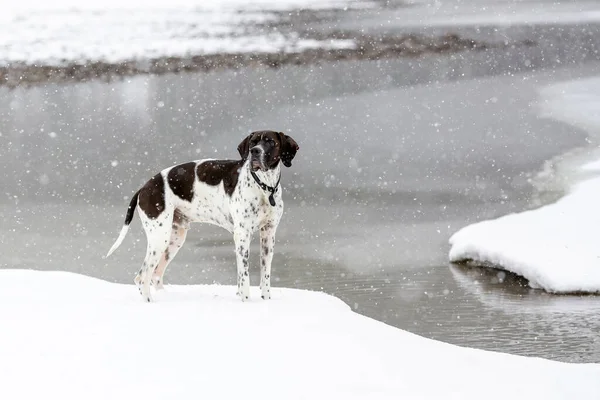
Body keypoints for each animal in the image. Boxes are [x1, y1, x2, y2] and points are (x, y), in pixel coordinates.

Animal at [105, 130, 300, 302]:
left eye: (270, 142)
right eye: (253, 142)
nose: (255, 151)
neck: (264, 187)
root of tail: (144, 187)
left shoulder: (268, 234)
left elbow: (265, 274)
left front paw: (266, 300)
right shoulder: (242, 235)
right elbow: (244, 277)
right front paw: (246, 302)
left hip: (175, 238)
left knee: (156, 275)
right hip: (159, 237)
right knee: (142, 276)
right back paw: (150, 302)